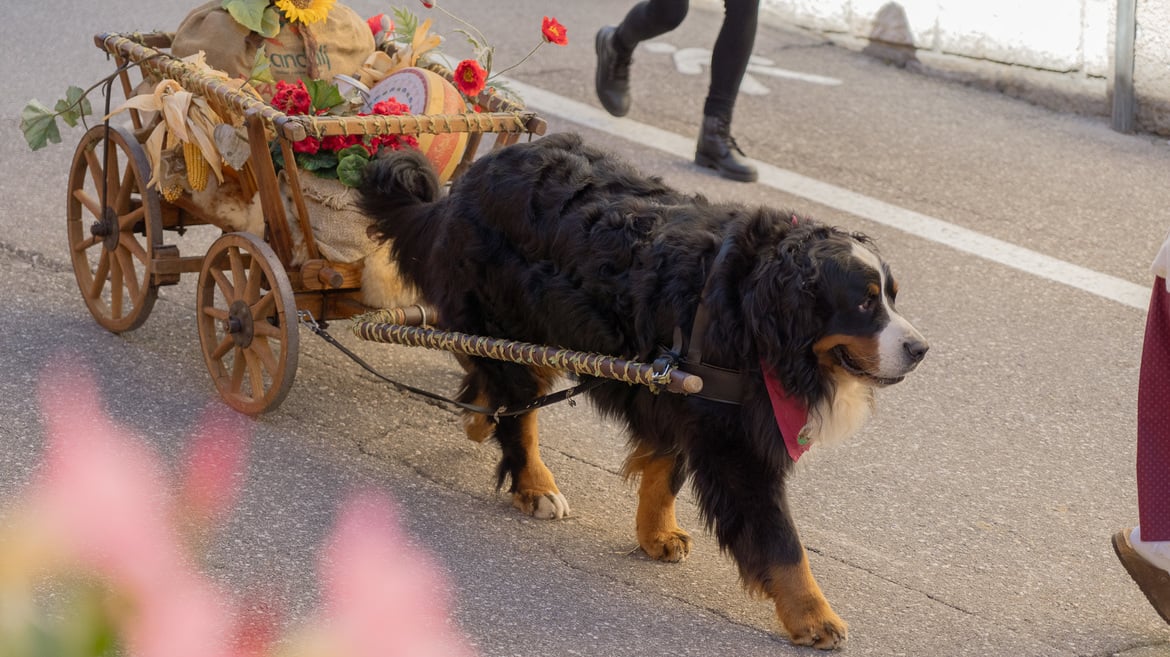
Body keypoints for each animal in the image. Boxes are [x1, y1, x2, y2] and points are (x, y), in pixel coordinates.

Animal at [360, 131, 926, 645]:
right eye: (863, 302)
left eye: (892, 296)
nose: (921, 348)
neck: (754, 311)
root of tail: (469, 181)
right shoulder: (733, 439)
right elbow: (782, 540)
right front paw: (814, 616)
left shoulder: (676, 388)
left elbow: (665, 471)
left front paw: (656, 533)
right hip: (508, 318)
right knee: (520, 409)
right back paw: (535, 485)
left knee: (492, 379)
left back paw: (480, 416)